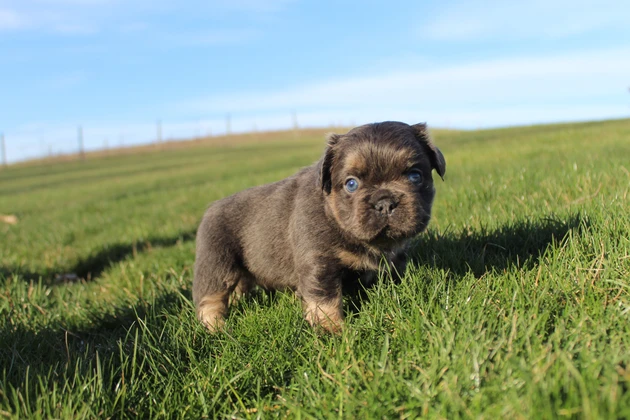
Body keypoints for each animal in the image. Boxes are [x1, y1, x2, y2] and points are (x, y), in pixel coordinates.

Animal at [195, 120, 446, 332]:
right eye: (351, 184)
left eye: (415, 176)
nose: (385, 203)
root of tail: (210, 209)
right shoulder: (319, 262)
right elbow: (325, 300)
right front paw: (332, 331)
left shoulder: (392, 259)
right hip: (216, 264)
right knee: (209, 299)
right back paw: (217, 328)